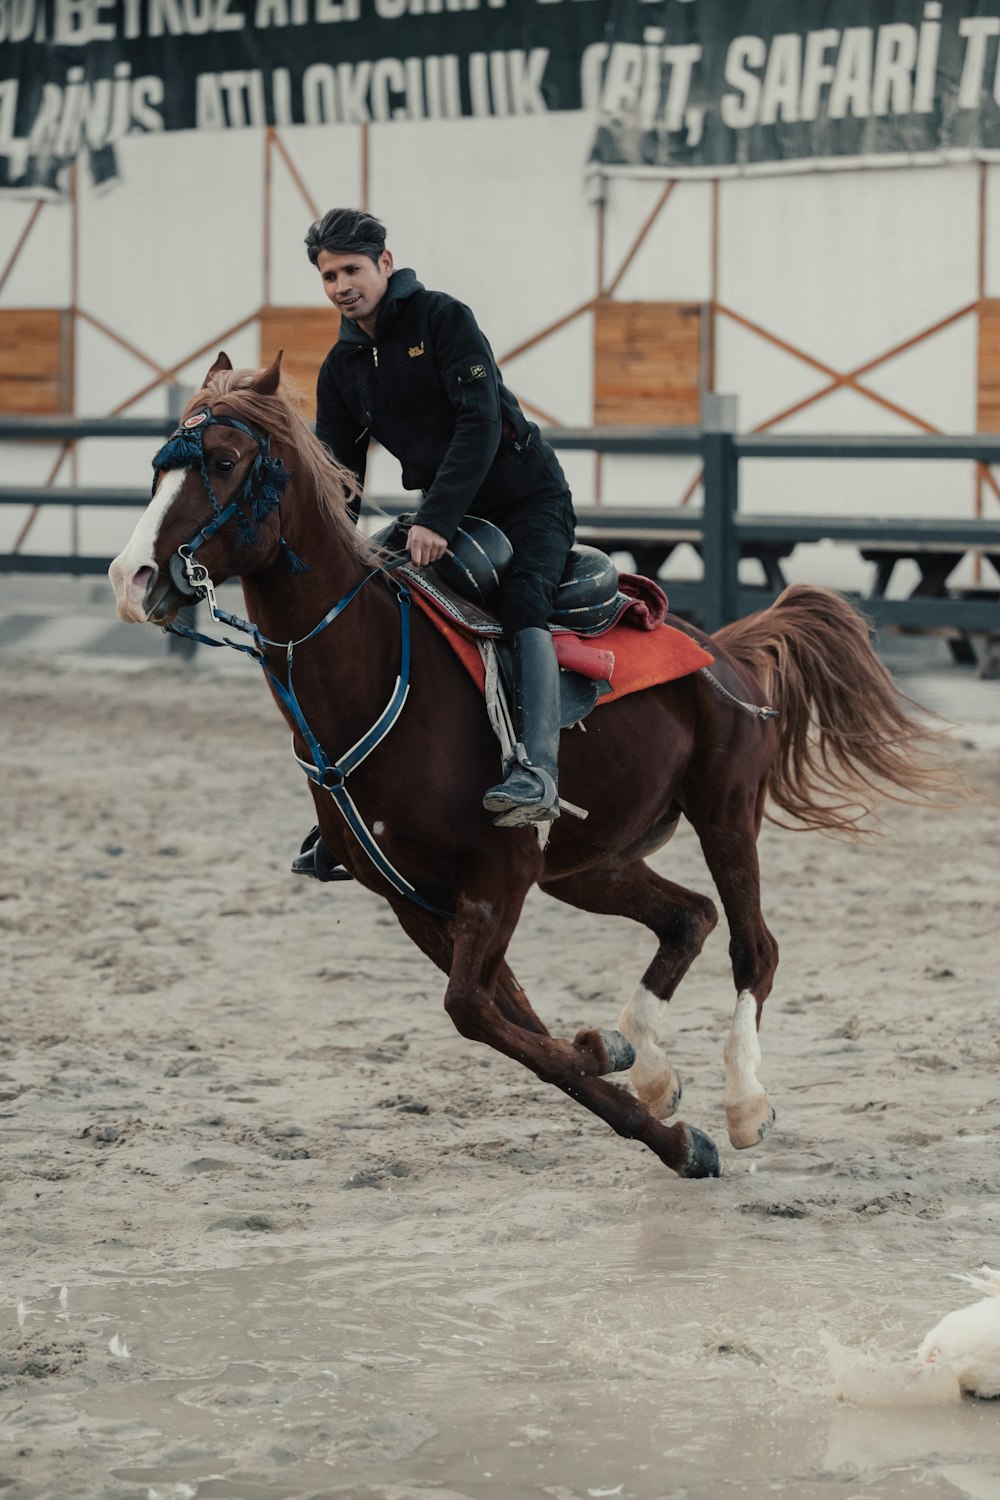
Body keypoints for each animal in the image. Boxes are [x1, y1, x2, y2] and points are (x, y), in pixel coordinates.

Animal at [109, 354, 947, 1182]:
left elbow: (477, 1010)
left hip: (725, 814)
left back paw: (745, 1103)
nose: (130, 578)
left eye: (223, 461)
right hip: (587, 865)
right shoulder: (417, 900)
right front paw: (640, 1095)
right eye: (156, 468)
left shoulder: (499, 876)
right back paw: (652, 1063)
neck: (378, 670)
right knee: (690, 917)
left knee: (754, 946)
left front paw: (633, 1082)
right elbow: (510, 1018)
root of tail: (727, 649)